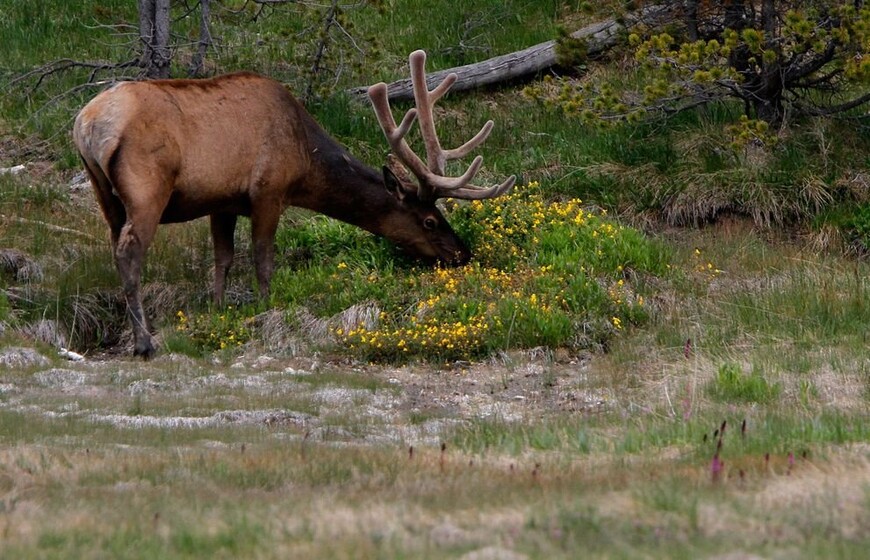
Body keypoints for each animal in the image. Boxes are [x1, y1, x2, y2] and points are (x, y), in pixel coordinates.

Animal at [75, 51, 516, 358]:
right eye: (429, 220)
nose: (462, 253)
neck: (305, 158)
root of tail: (88, 125)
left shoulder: (223, 201)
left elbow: (222, 258)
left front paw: (218, 312)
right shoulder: (268, 191)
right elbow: (263, 259)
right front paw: (265, 310)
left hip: (103, 193)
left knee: (115, 245)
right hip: (147, 185)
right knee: (131, 250)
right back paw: (144, 342)